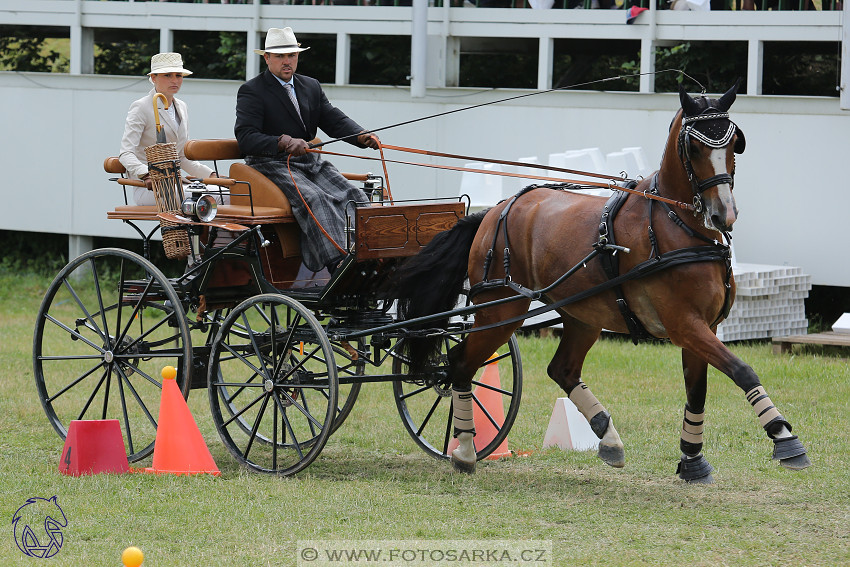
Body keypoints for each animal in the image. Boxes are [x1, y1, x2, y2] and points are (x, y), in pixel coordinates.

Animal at [394, 82, 812, 484]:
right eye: (694, 147)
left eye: (733, 143)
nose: (723, 214)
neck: (677, 225)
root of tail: (494, 210)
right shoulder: (685, 325)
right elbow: (743, 370)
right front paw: (785, 439)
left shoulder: (703, 328)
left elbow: (697, 394)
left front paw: (692, 462)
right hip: (501, 309)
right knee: (460, 364)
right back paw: (464, 451)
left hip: (582, 315)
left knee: (561, 370)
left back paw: (608, 438)